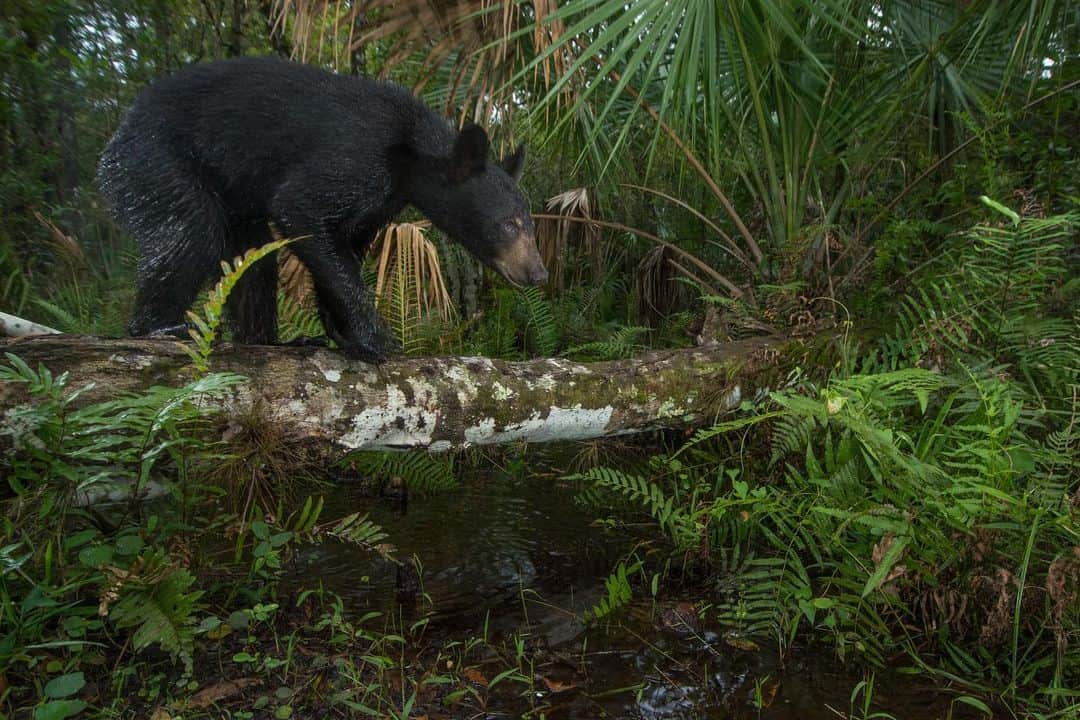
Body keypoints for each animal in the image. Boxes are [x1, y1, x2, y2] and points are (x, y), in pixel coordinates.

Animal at [97, 57, 544, 360]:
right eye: (508, 225)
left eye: (530, 224)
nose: (537, 273)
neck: (408, 154)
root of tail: (117, 137)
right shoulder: (355, 158)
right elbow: (300, 208)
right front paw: (377, 339)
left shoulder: (381, 201)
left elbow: (345, 244)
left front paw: (341, 331)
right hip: (155, 161)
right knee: (189, 232)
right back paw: (160, 328)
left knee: (252, 262)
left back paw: (273, 340)